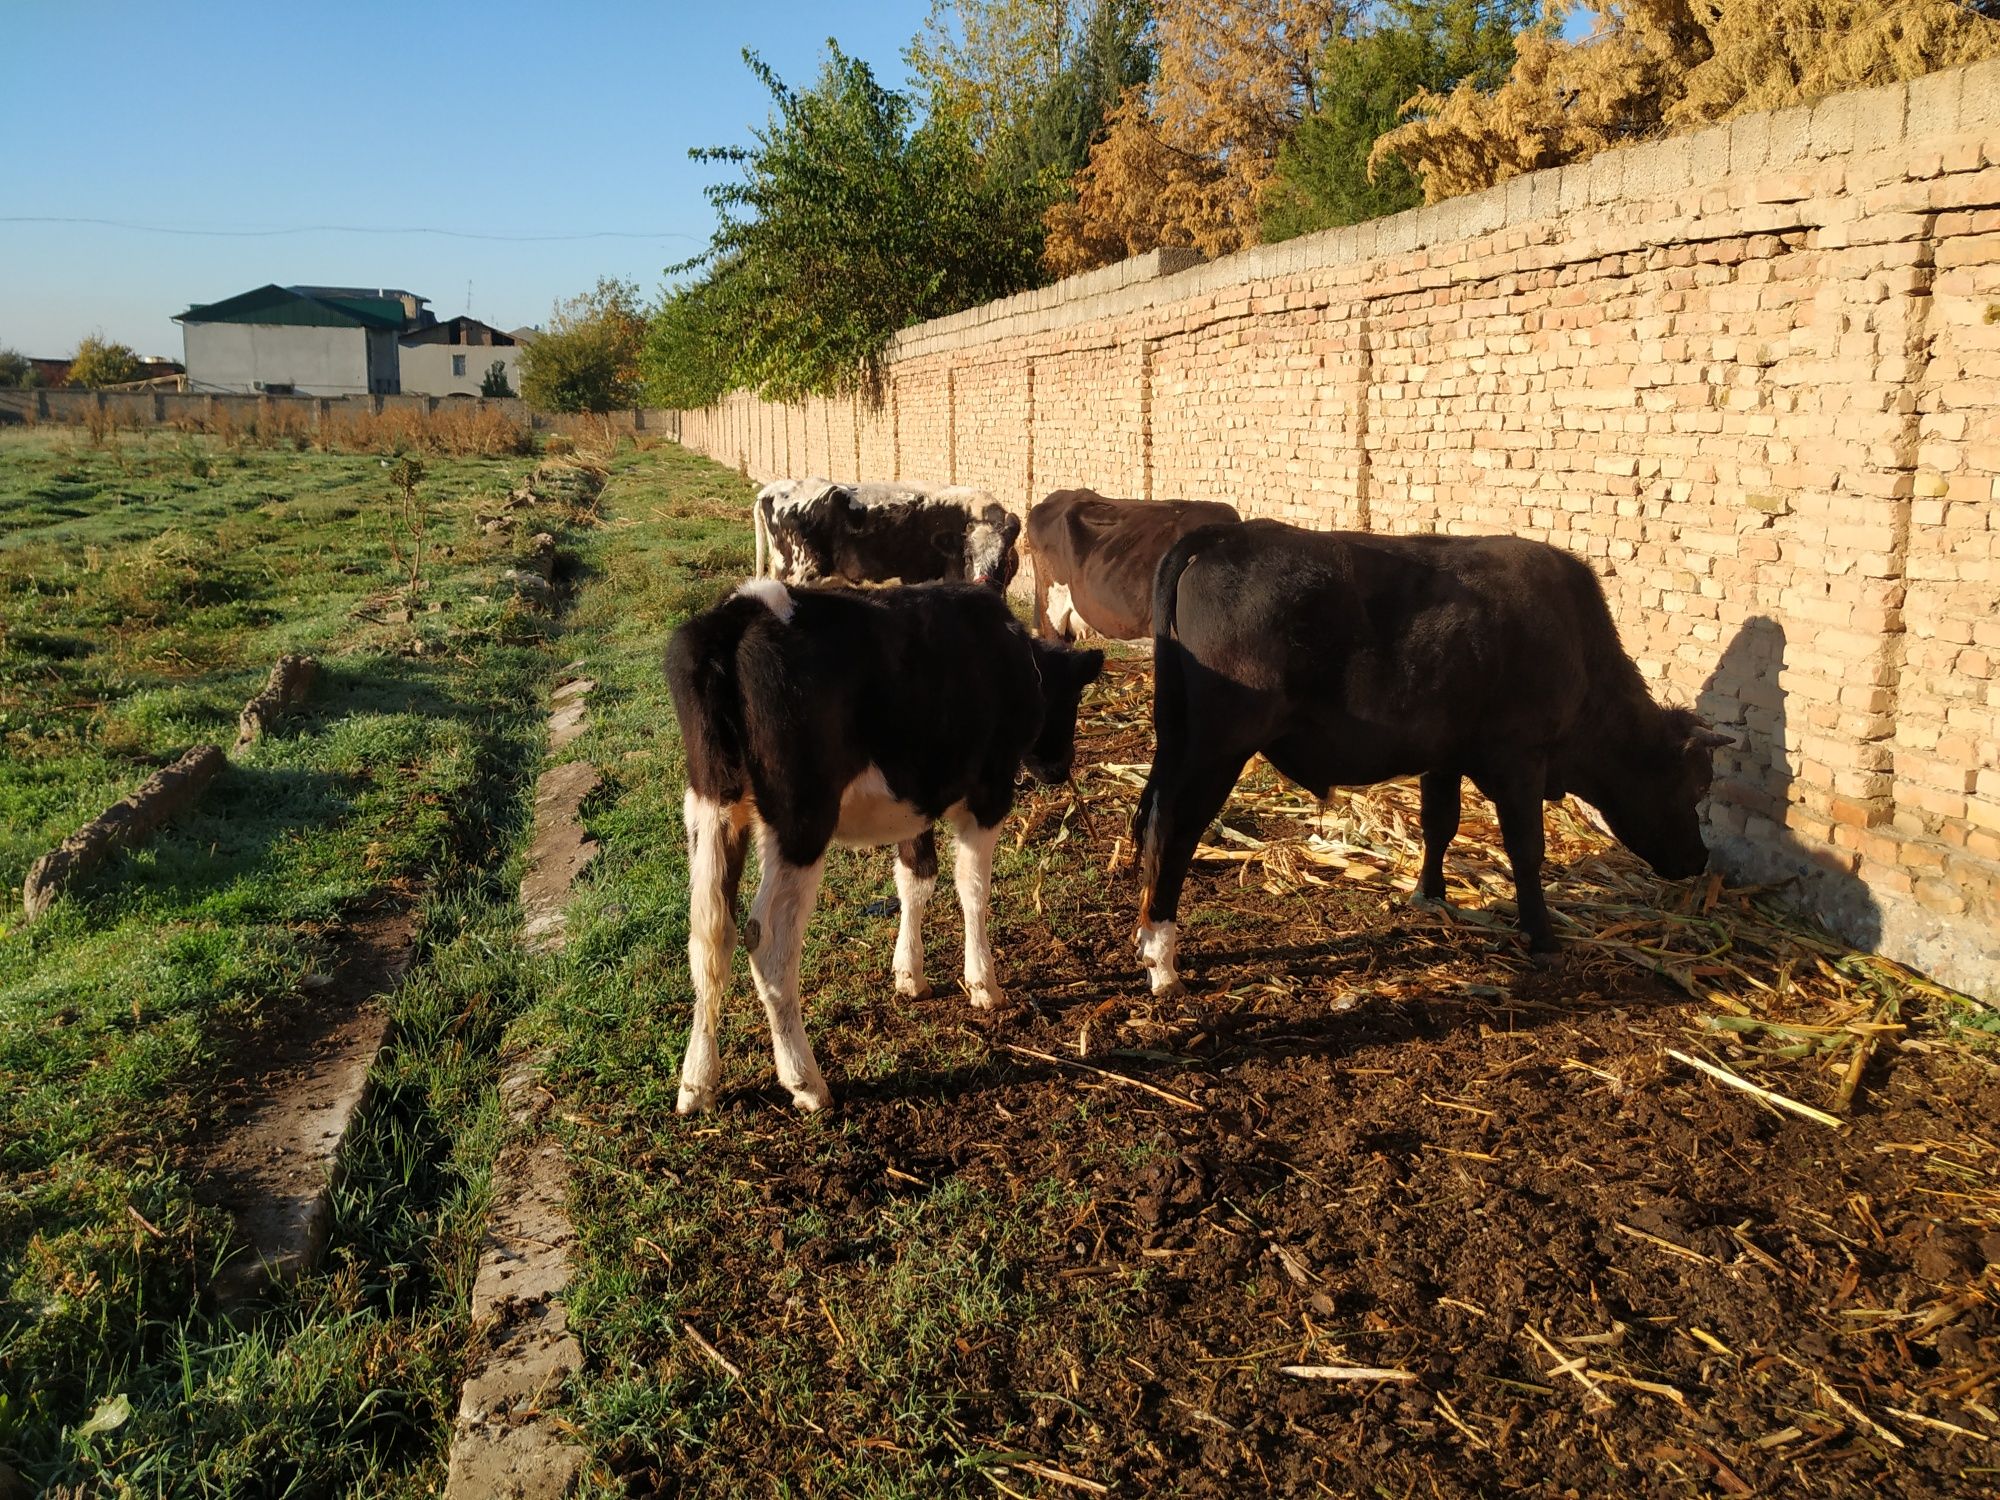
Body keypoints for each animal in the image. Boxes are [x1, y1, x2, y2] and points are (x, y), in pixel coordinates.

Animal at [664, 576, 1104, 1120]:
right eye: (1073, 701)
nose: (1061, 768)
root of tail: (742, 610)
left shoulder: (918, 798)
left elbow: (915, 879)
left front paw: (909, 974)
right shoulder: (989, 791)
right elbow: (973, 888)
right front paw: (983, 982)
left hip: (710, 806)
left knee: (710, 936)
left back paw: (697, 1083)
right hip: (801, 819)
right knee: (766, 941)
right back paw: (806, 1081)